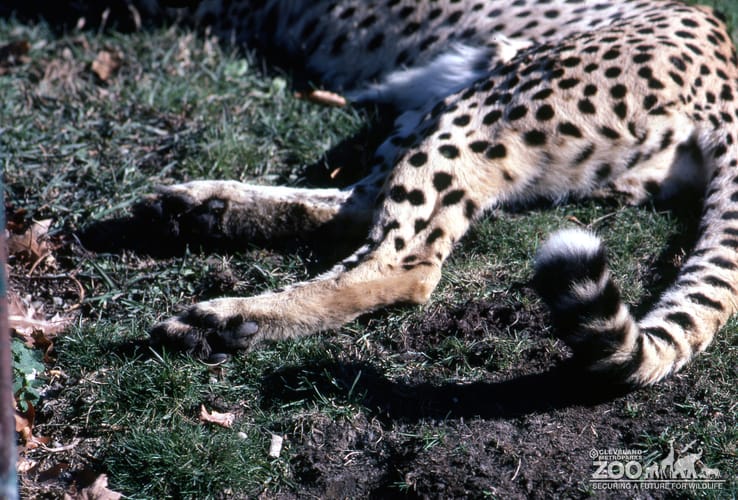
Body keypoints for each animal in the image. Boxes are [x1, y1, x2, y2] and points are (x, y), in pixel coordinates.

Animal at [108, 0, 738, 388]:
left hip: (486, 102)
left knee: (405, 261)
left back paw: (225, 318)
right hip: (444, 108)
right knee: (360, 205)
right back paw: (201, 211)